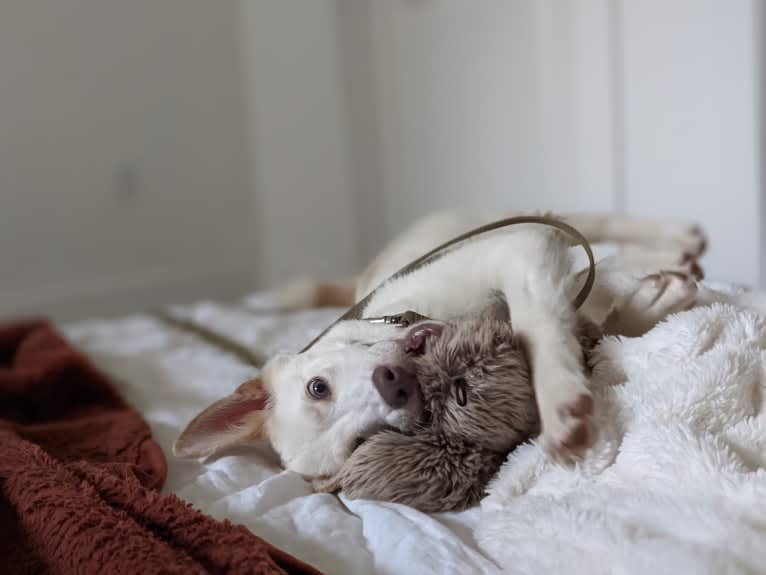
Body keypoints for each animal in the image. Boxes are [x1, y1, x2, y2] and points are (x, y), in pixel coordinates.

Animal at [176, 209, 728, 480]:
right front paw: (652, 299)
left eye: (318, 387)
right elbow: (591, 306)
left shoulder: (516, 249)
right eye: (361, 444)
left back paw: (676, 238)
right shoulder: (543, 269)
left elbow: (542, 323)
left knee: (596, 223)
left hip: (509, 219)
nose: (394, 385)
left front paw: (561, 402)